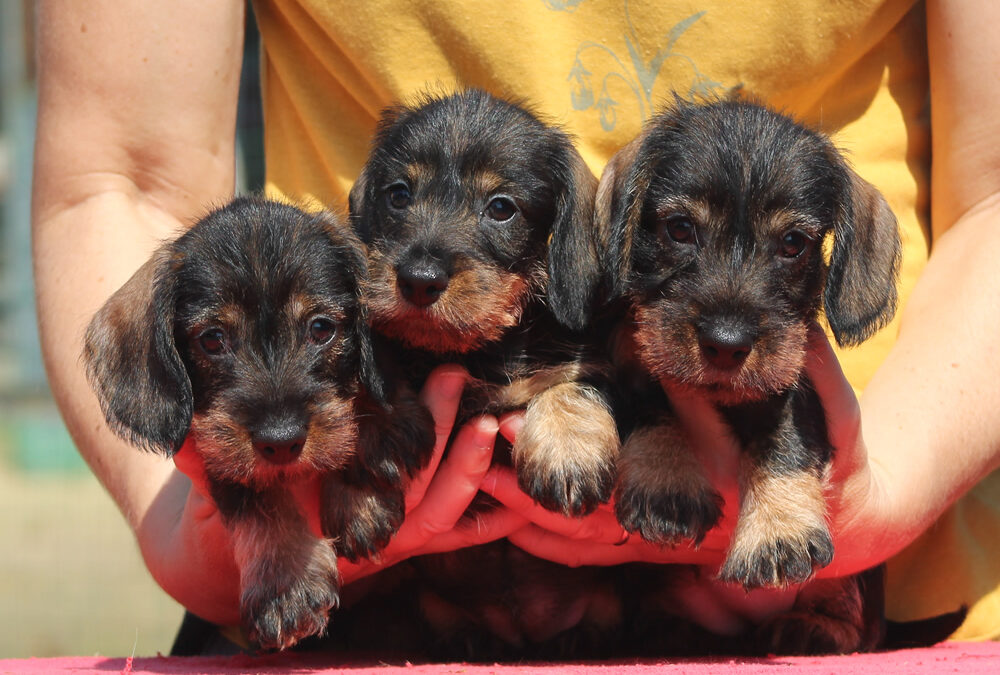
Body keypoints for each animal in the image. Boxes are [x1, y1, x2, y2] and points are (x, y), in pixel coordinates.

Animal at [83, 198, 434, 652]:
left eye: (321, 328)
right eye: (212, 339)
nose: (281, 441)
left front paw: (372, 460)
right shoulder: (220, 453)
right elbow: (261, 503)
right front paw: (287, 586)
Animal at [596, 100, 904, 656]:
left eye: (793, 243)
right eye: (679, 229)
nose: (726, 343)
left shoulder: (797, 384)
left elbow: (784, 442)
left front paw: (777, 533)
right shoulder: (633, 362)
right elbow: (653, 410)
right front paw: (666, 484)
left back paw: (812, 626)